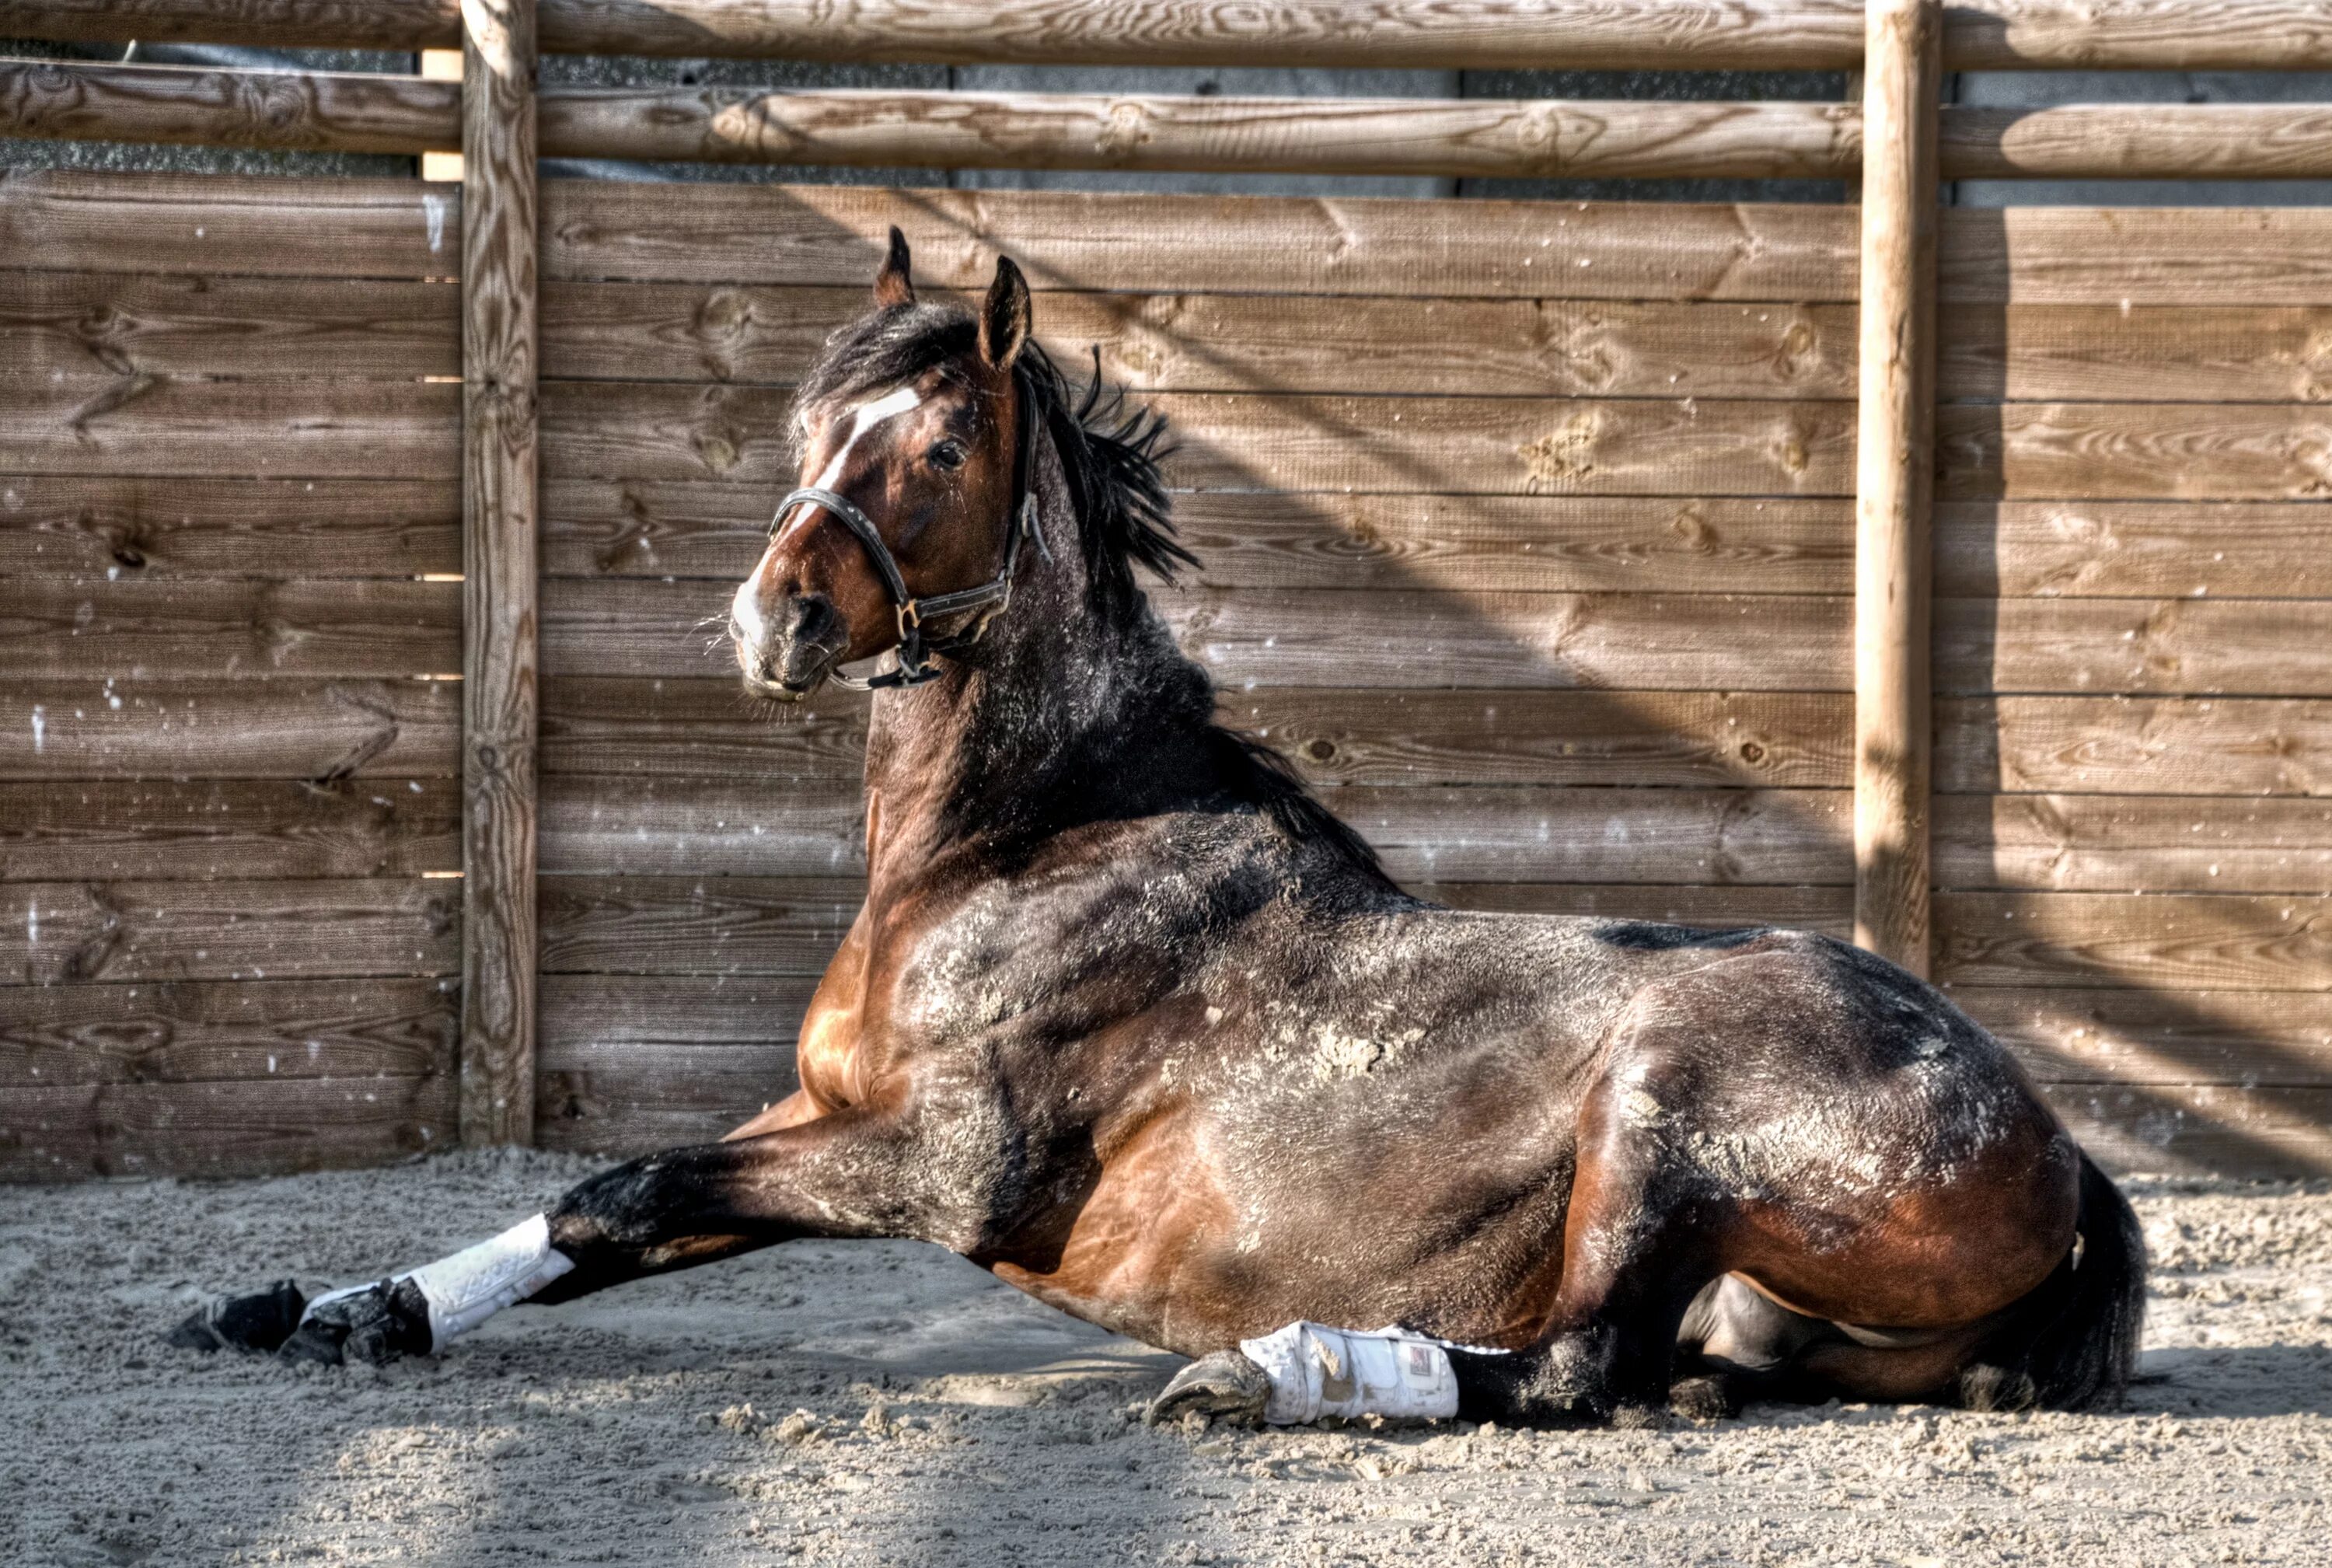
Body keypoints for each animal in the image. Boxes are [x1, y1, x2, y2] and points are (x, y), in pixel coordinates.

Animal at [177, 226, 2145, 1427]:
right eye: (811, 425)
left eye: (938, 450)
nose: (771, 620)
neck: (1030, 843)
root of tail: (2054, 1143)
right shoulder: (813, 1119)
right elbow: (589, 1216)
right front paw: (334, 1307)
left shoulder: (933, 1170)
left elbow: (624, 1186)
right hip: (1742, 1307)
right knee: (1653, 1375)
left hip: (1658, 1113)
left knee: (1567, 1367)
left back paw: (1272, 1373)